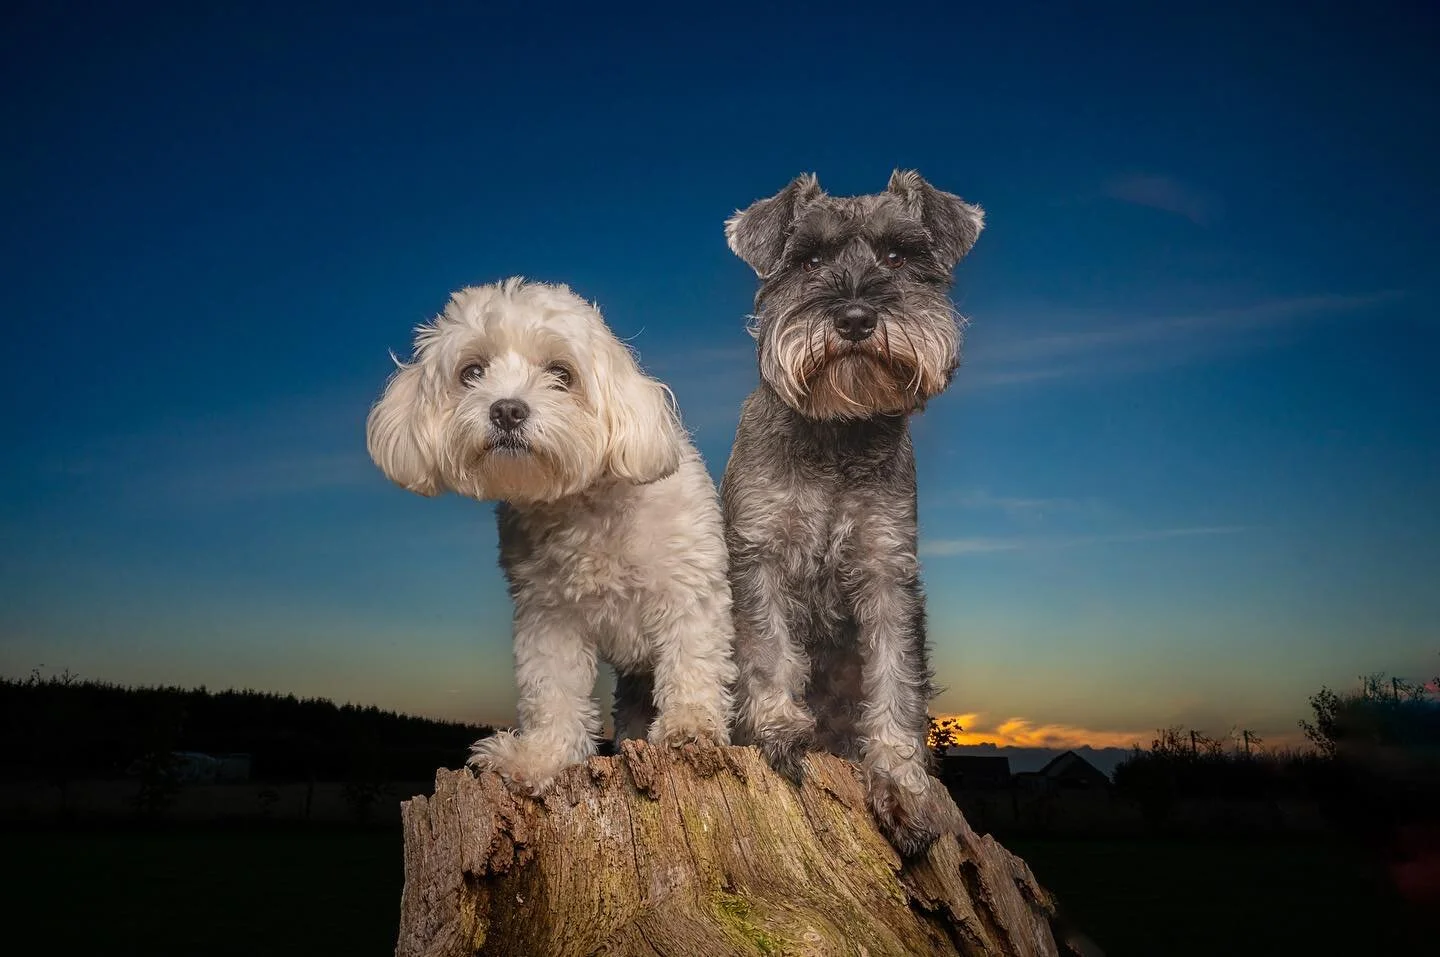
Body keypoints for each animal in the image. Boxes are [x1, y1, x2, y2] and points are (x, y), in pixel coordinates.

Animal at [365, 276, 737, 788]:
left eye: (562, 373)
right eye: (471, 372)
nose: (506, 411)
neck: (585, 508)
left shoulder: (688, 592)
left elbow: (691, 660)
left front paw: (690, 726)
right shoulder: (548, 618)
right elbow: (553, 691)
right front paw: (543, 757)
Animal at [725, 167, 984, 851]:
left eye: (897, 255)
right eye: (809, 260)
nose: (857, 316)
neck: (837, 436)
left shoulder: (887, 571)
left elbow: (896, 681)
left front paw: (900, 784)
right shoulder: (758, 556)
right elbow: (769, 650)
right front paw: (779, 730)